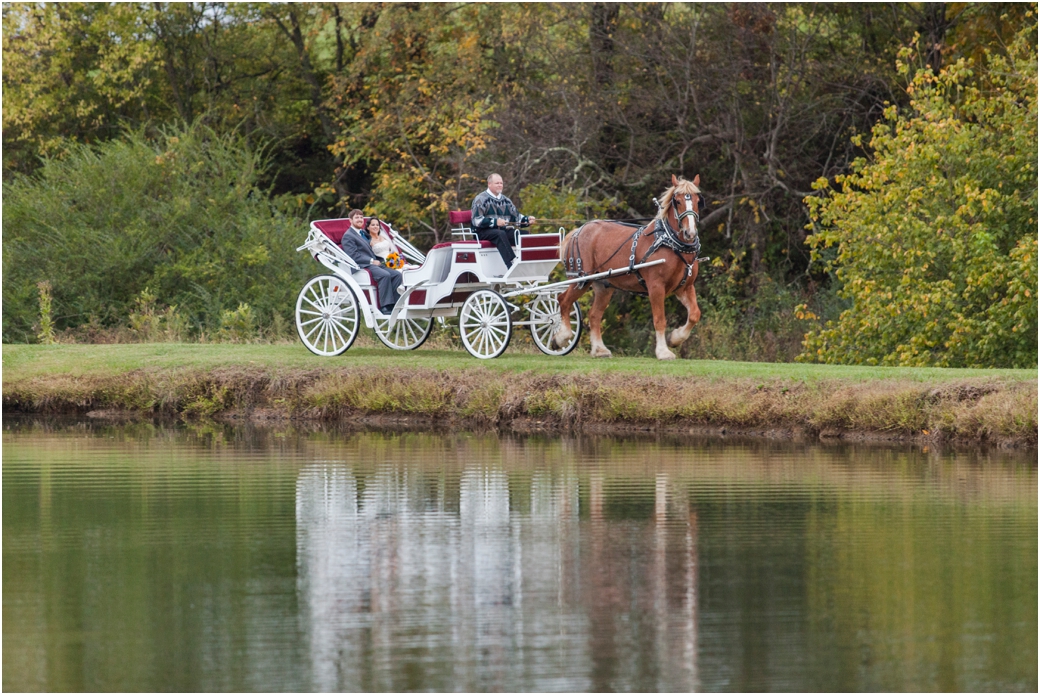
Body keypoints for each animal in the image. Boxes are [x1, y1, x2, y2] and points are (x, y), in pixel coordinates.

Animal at [553, 173, 707, 362]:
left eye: (698, 200)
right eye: (677, 201)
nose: (689, 233)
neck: (670, 242)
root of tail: (578, 231)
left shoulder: (685, 287)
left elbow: (694, 314)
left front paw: (675, 339)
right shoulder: (656, 287)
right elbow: (659, 319)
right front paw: (663, 351)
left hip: (603, 285)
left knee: (594, 315)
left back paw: (599, 350)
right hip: (580, 279)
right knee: (563, 301)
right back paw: (562, 337)